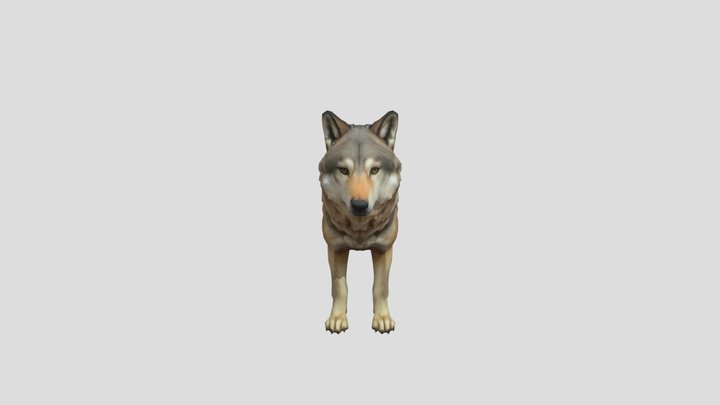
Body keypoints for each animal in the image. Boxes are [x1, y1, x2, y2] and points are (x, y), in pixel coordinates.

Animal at [318, 110, 402, 334]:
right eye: (343, 170)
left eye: (374, 170)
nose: (359, 205)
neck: (359, 231)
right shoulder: (336, 248)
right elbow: (339, 287)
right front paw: (337, 318)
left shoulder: (383, 248)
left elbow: (380, 287)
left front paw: (382, 318)